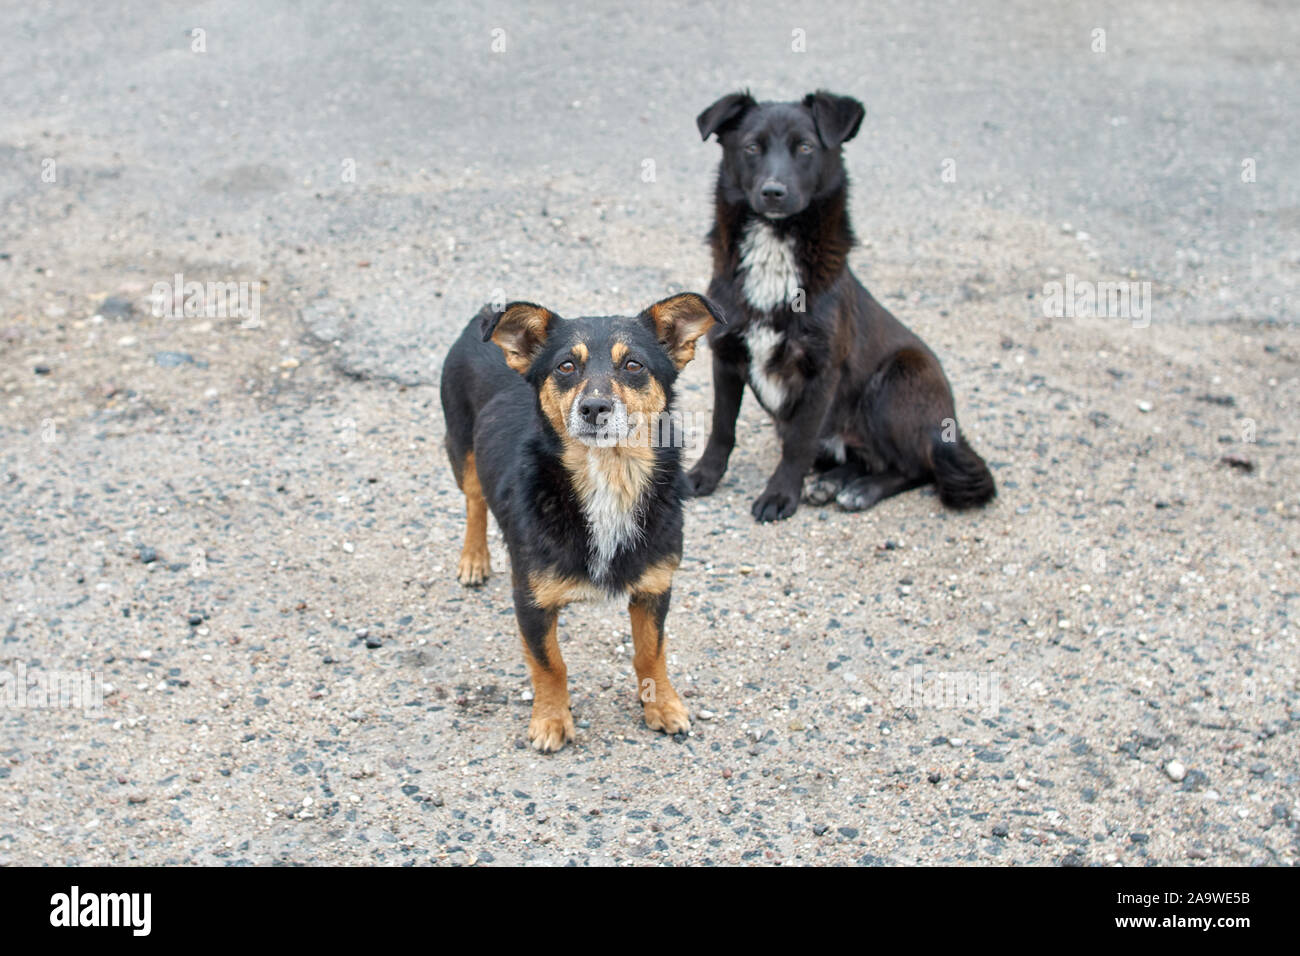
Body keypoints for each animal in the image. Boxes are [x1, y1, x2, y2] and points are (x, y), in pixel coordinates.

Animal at [436, 291, 722, 754]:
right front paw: (552, 720)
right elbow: (549, 664)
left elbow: (651, 653)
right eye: (566, 366)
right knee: (475, 501)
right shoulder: (531, 600)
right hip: (461, 447)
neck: (608, 479)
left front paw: (661, 705)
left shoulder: (655, 588)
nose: (594, 408)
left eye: (634, 365)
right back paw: (474, 559)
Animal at [691, 89, 993, 522]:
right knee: (865, 459)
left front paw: (780, 494)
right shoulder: (726, 356)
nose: (773, 191)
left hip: (897, 379)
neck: (774, 248)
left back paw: (861, 490)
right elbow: (721, 427)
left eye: (805, 147)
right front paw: (704, 475)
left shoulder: (821, 370)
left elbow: (797, 444)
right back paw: (835, 482)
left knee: (916, 467)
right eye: (751, 147)